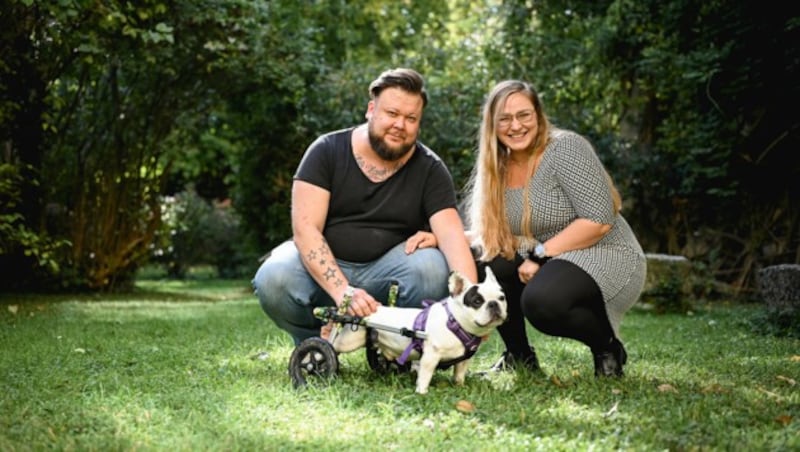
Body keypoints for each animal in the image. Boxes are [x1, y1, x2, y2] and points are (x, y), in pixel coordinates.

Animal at [330, 268, 506, 392]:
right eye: (477, 301)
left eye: (502, 298)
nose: (493, 304)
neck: (455, 323)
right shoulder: (430, 357)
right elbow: (425, 376)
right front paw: (422, 392)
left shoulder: (463, 361)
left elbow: (459, 374)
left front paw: (460, 387)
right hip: (349, 341)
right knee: (333, 346)